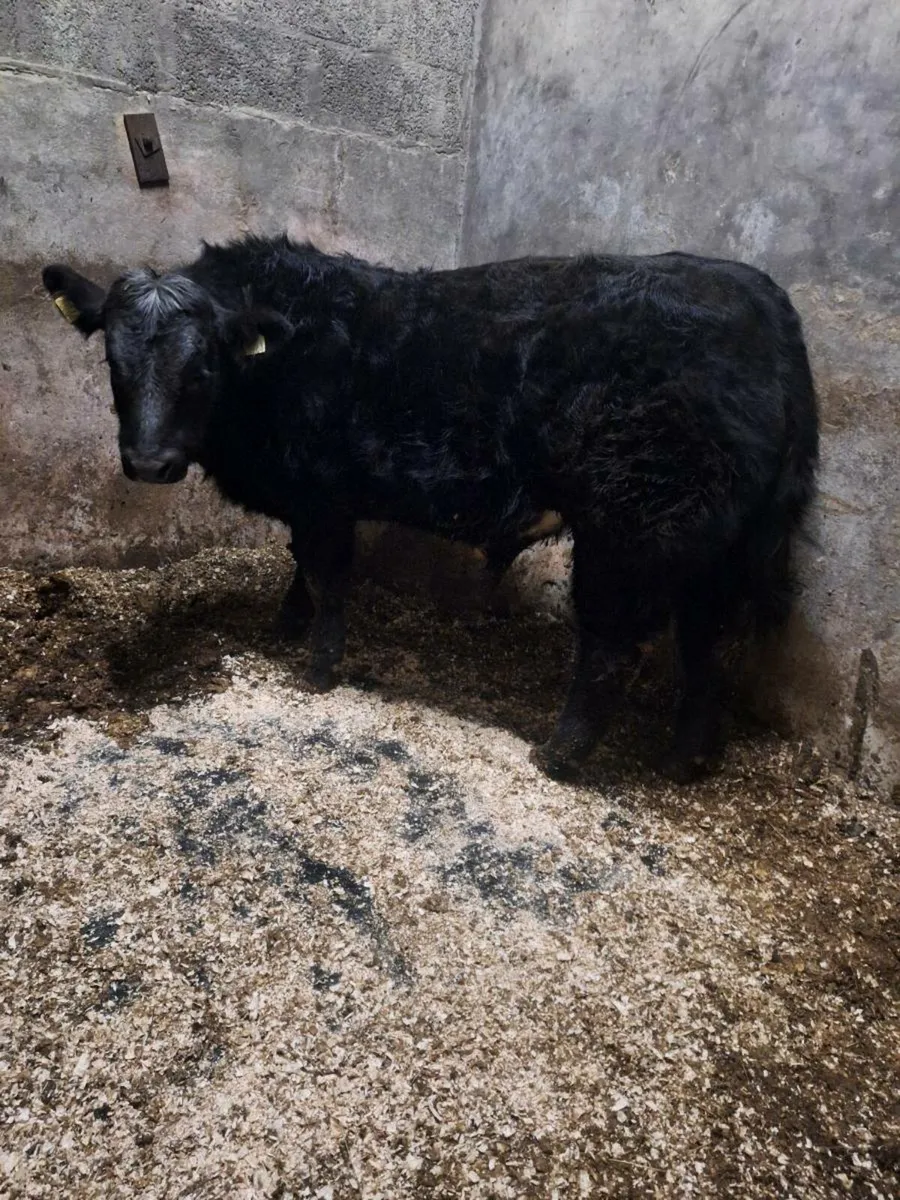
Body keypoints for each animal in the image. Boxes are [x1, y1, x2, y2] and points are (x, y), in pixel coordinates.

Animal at [42, 235, 818, 781]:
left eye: (201, 366)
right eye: (113, 362)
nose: (149, 463)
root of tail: (757, 292)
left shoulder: (323, 496)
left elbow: (327, 577)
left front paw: (317, 667)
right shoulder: (306, 498)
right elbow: (300, 570)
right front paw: (283, 628)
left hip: (632, 531)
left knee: (613, 645)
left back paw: (558, 755)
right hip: (716, 548)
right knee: (705, 643)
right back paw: (686, 760)